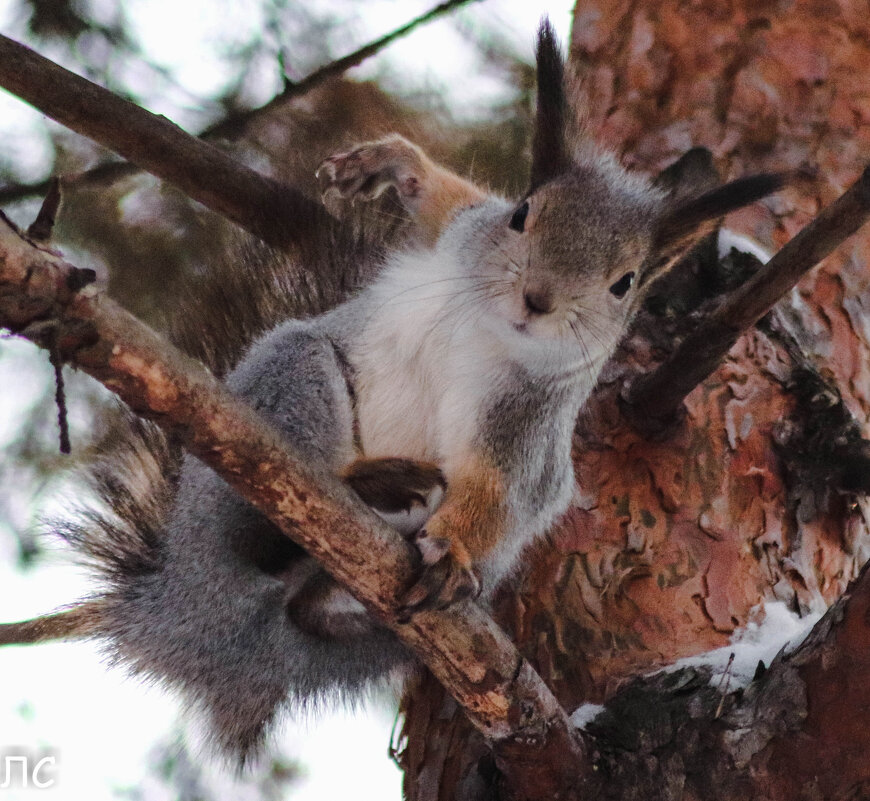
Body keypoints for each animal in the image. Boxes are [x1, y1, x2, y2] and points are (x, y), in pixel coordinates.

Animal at [0, 20, 784, 764]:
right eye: (522, 214)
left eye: (625, 284)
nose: (537, 299)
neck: (488, 329)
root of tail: (183, 613)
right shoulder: (464, 235)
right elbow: (450, 205)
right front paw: (396, 164)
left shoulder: (525, 422)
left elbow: (496, 488)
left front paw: (454, 553)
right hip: (289, 383)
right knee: (259, 525)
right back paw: (354, 490)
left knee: (308, 601)